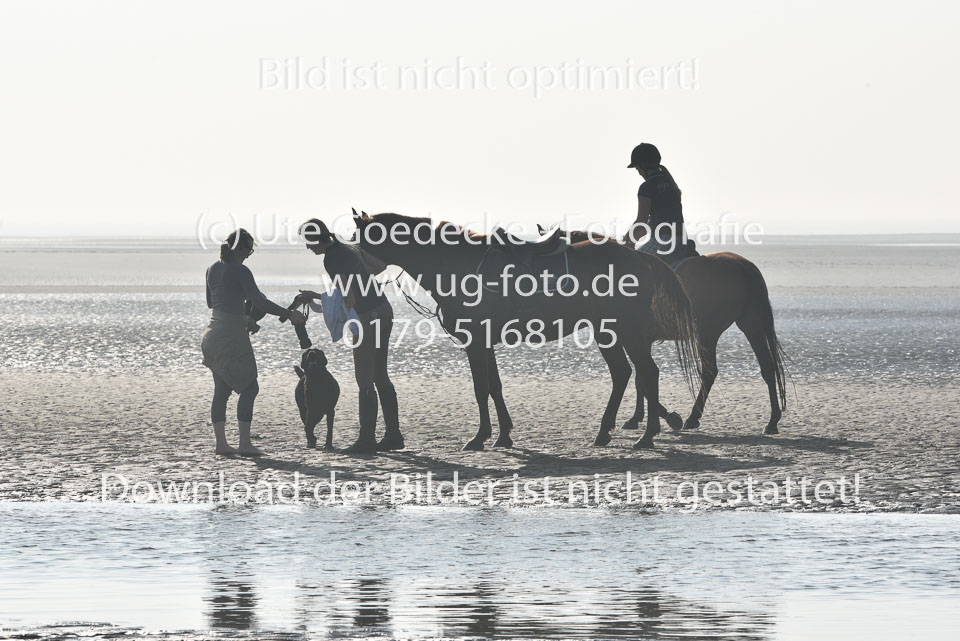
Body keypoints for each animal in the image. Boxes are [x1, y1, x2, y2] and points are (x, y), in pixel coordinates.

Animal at [348, 211, 700, 450]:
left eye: (358, 241)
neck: (456, 265)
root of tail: (639, 256)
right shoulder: (485, 343)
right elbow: (494, 387)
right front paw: (503, 434)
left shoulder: (475, 342)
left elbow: (480, 388)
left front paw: (480, 437)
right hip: (607, 331)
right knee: (624, 374)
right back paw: (605, 432)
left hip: (627, 331)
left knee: (647, 373)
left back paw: (647, 435)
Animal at [548, 225, 788, 436]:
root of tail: (743, 266)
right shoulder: (641, 340)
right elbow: (641, 378)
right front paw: (639, 418)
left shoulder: (633, 337)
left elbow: (642, 377)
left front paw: (664, 417)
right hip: (750, 324)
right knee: (767, 368)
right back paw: (772, 420)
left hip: (708, 333)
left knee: (710, 372)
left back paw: (693, 417)